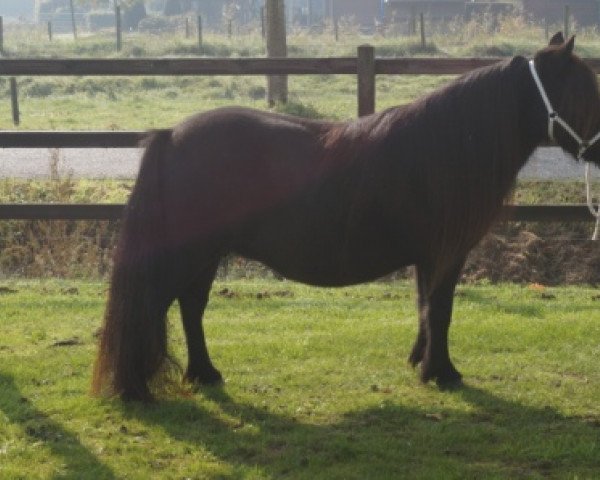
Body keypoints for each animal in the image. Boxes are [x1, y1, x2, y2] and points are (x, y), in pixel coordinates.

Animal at [91, 34, 600, 402]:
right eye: (585, 89)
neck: (451, 143)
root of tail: (171, 135)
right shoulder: (446, 254)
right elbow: (441, 310)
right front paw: (443, 374)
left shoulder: (426, 256)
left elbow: (424, 308)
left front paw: (421, 363)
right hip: (188, 254)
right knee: (152, 307)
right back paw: (135, 390)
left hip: (204, 255)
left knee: (190, 308)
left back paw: (204, 375)